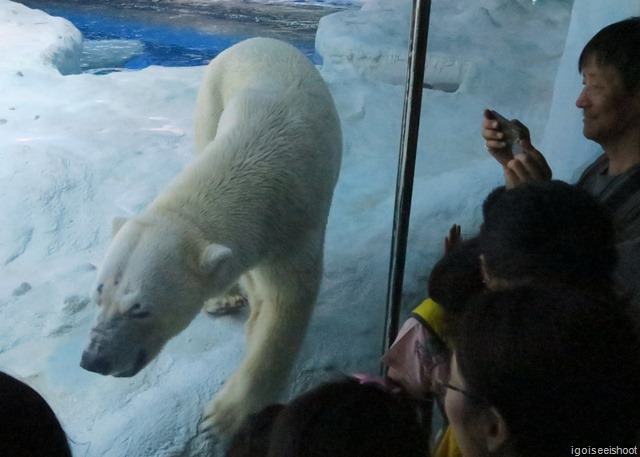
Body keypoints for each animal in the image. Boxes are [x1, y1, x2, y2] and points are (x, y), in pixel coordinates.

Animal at [82, 35, 342, 434]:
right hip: (212, 96)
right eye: (99, 294)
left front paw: (224, 416)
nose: (93, 360)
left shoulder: (298, 223)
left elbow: (286, 302)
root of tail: (258, 39)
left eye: (140, 309)